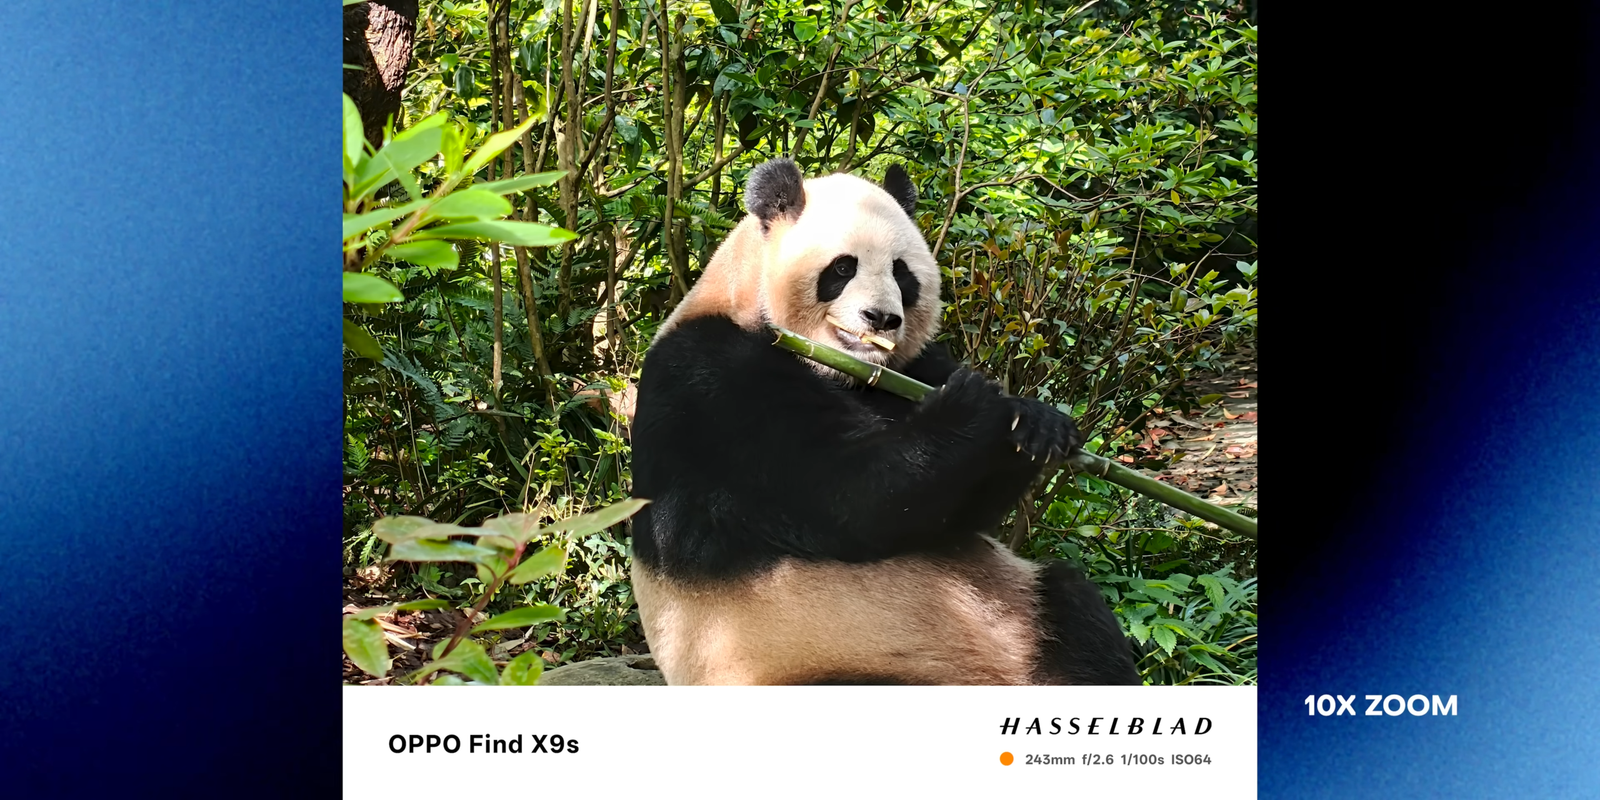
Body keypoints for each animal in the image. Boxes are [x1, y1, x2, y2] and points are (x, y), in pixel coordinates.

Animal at [628, 157, 1140, 686]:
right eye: (842, 267)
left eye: (902, 272)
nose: (881, 318)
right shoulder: (713, 384)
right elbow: (848, 495)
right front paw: (976, 405)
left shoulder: (911, 370)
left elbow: (955, 513)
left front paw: (1037, 421)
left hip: (1030, 613)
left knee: (1074, 610)